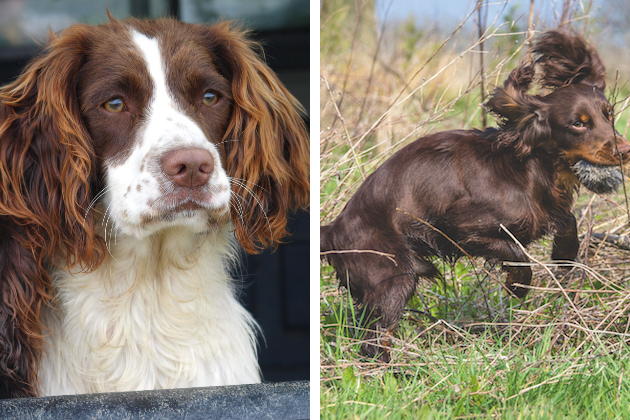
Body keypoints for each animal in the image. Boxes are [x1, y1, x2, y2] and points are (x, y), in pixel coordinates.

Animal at [320, 30, 630, 360]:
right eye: (578, 123)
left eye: (608, 114)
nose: (624, 151)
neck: (528, 165)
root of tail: (333, 230)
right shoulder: (461, 229)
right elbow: (517, 254)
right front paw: (518, 286)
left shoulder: (547, 209)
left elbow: (567, 220)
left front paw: (564, 256)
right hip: (392, 276)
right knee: (375, 339)